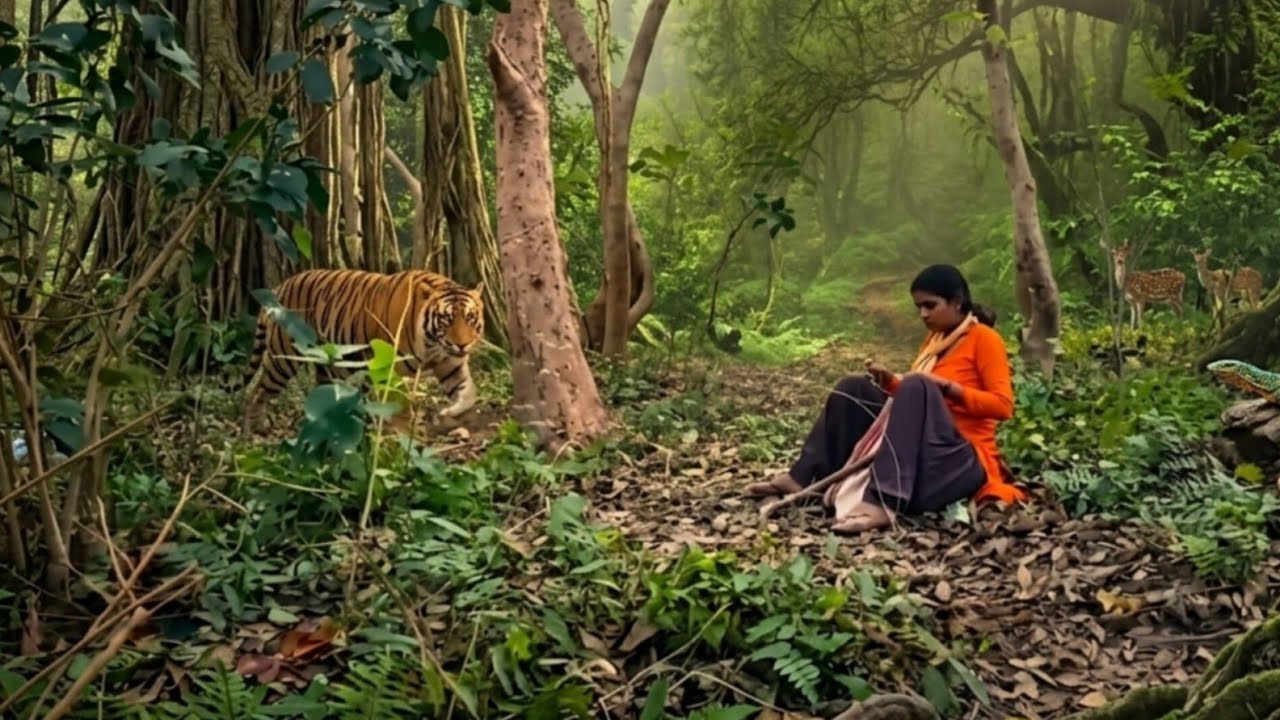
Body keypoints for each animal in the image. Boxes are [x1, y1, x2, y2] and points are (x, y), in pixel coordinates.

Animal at [240, 269, 485, 433]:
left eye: (470, 318)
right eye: (447, 319)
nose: (463, 345)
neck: (433, 344)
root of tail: (279, 287)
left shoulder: (450, 363)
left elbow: (468, 392)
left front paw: (449, 412)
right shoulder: (390, 367)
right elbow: (397, 402)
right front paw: (401, 432)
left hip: (330, 362)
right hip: (285, 358)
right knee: (258, 390)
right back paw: (254, 429)